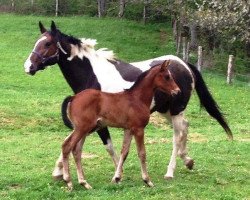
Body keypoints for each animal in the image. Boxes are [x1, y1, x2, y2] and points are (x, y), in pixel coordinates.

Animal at [62, 60, 180, 190]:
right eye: (167, 76)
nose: (177, 91)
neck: (137, 99)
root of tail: (74, 97)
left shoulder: (128, 129)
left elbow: (124, 152)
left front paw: (117, 178)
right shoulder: (138, 129)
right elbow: (142, 153)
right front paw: (147, 180)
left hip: (84, 129)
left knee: (76, 150)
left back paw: (84, 182)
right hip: (82, 129)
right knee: (67, 146)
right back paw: (68, 181)